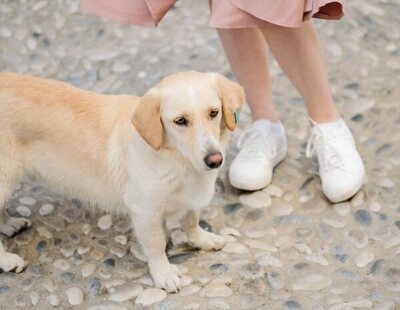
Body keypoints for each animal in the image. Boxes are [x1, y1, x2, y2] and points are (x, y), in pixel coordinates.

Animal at [0, 71, 244, 292]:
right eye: (180, 121)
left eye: (214, 113)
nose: (215, 160)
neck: (176, 160)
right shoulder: (144, 212)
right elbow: (156, 245)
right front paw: (164, 274)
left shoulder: (190, 199)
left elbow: (191, 222)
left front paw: (203, 239)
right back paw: (8, 260)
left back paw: (9, 224)